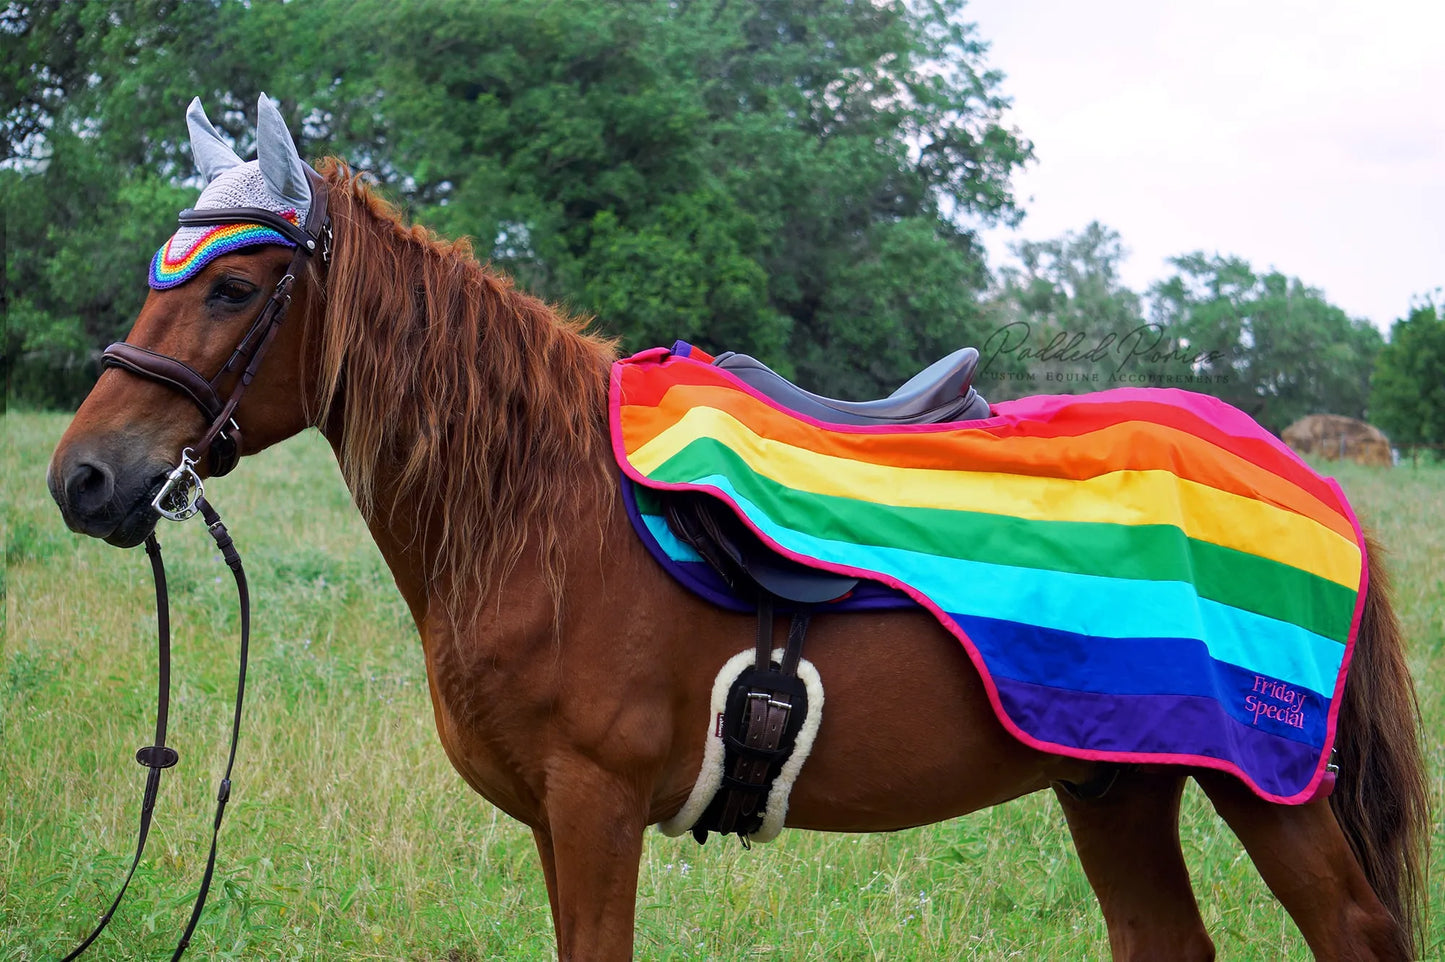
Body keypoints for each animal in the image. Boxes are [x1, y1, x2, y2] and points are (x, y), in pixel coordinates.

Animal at [50, 155, 1427, 953]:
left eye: (235, 289)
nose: (84, 477)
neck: (540, 511)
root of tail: (1297, 471)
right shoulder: (556, 820)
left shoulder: (595, 806)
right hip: (1116, 787)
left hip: (1267, 787)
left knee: (1354, 930)